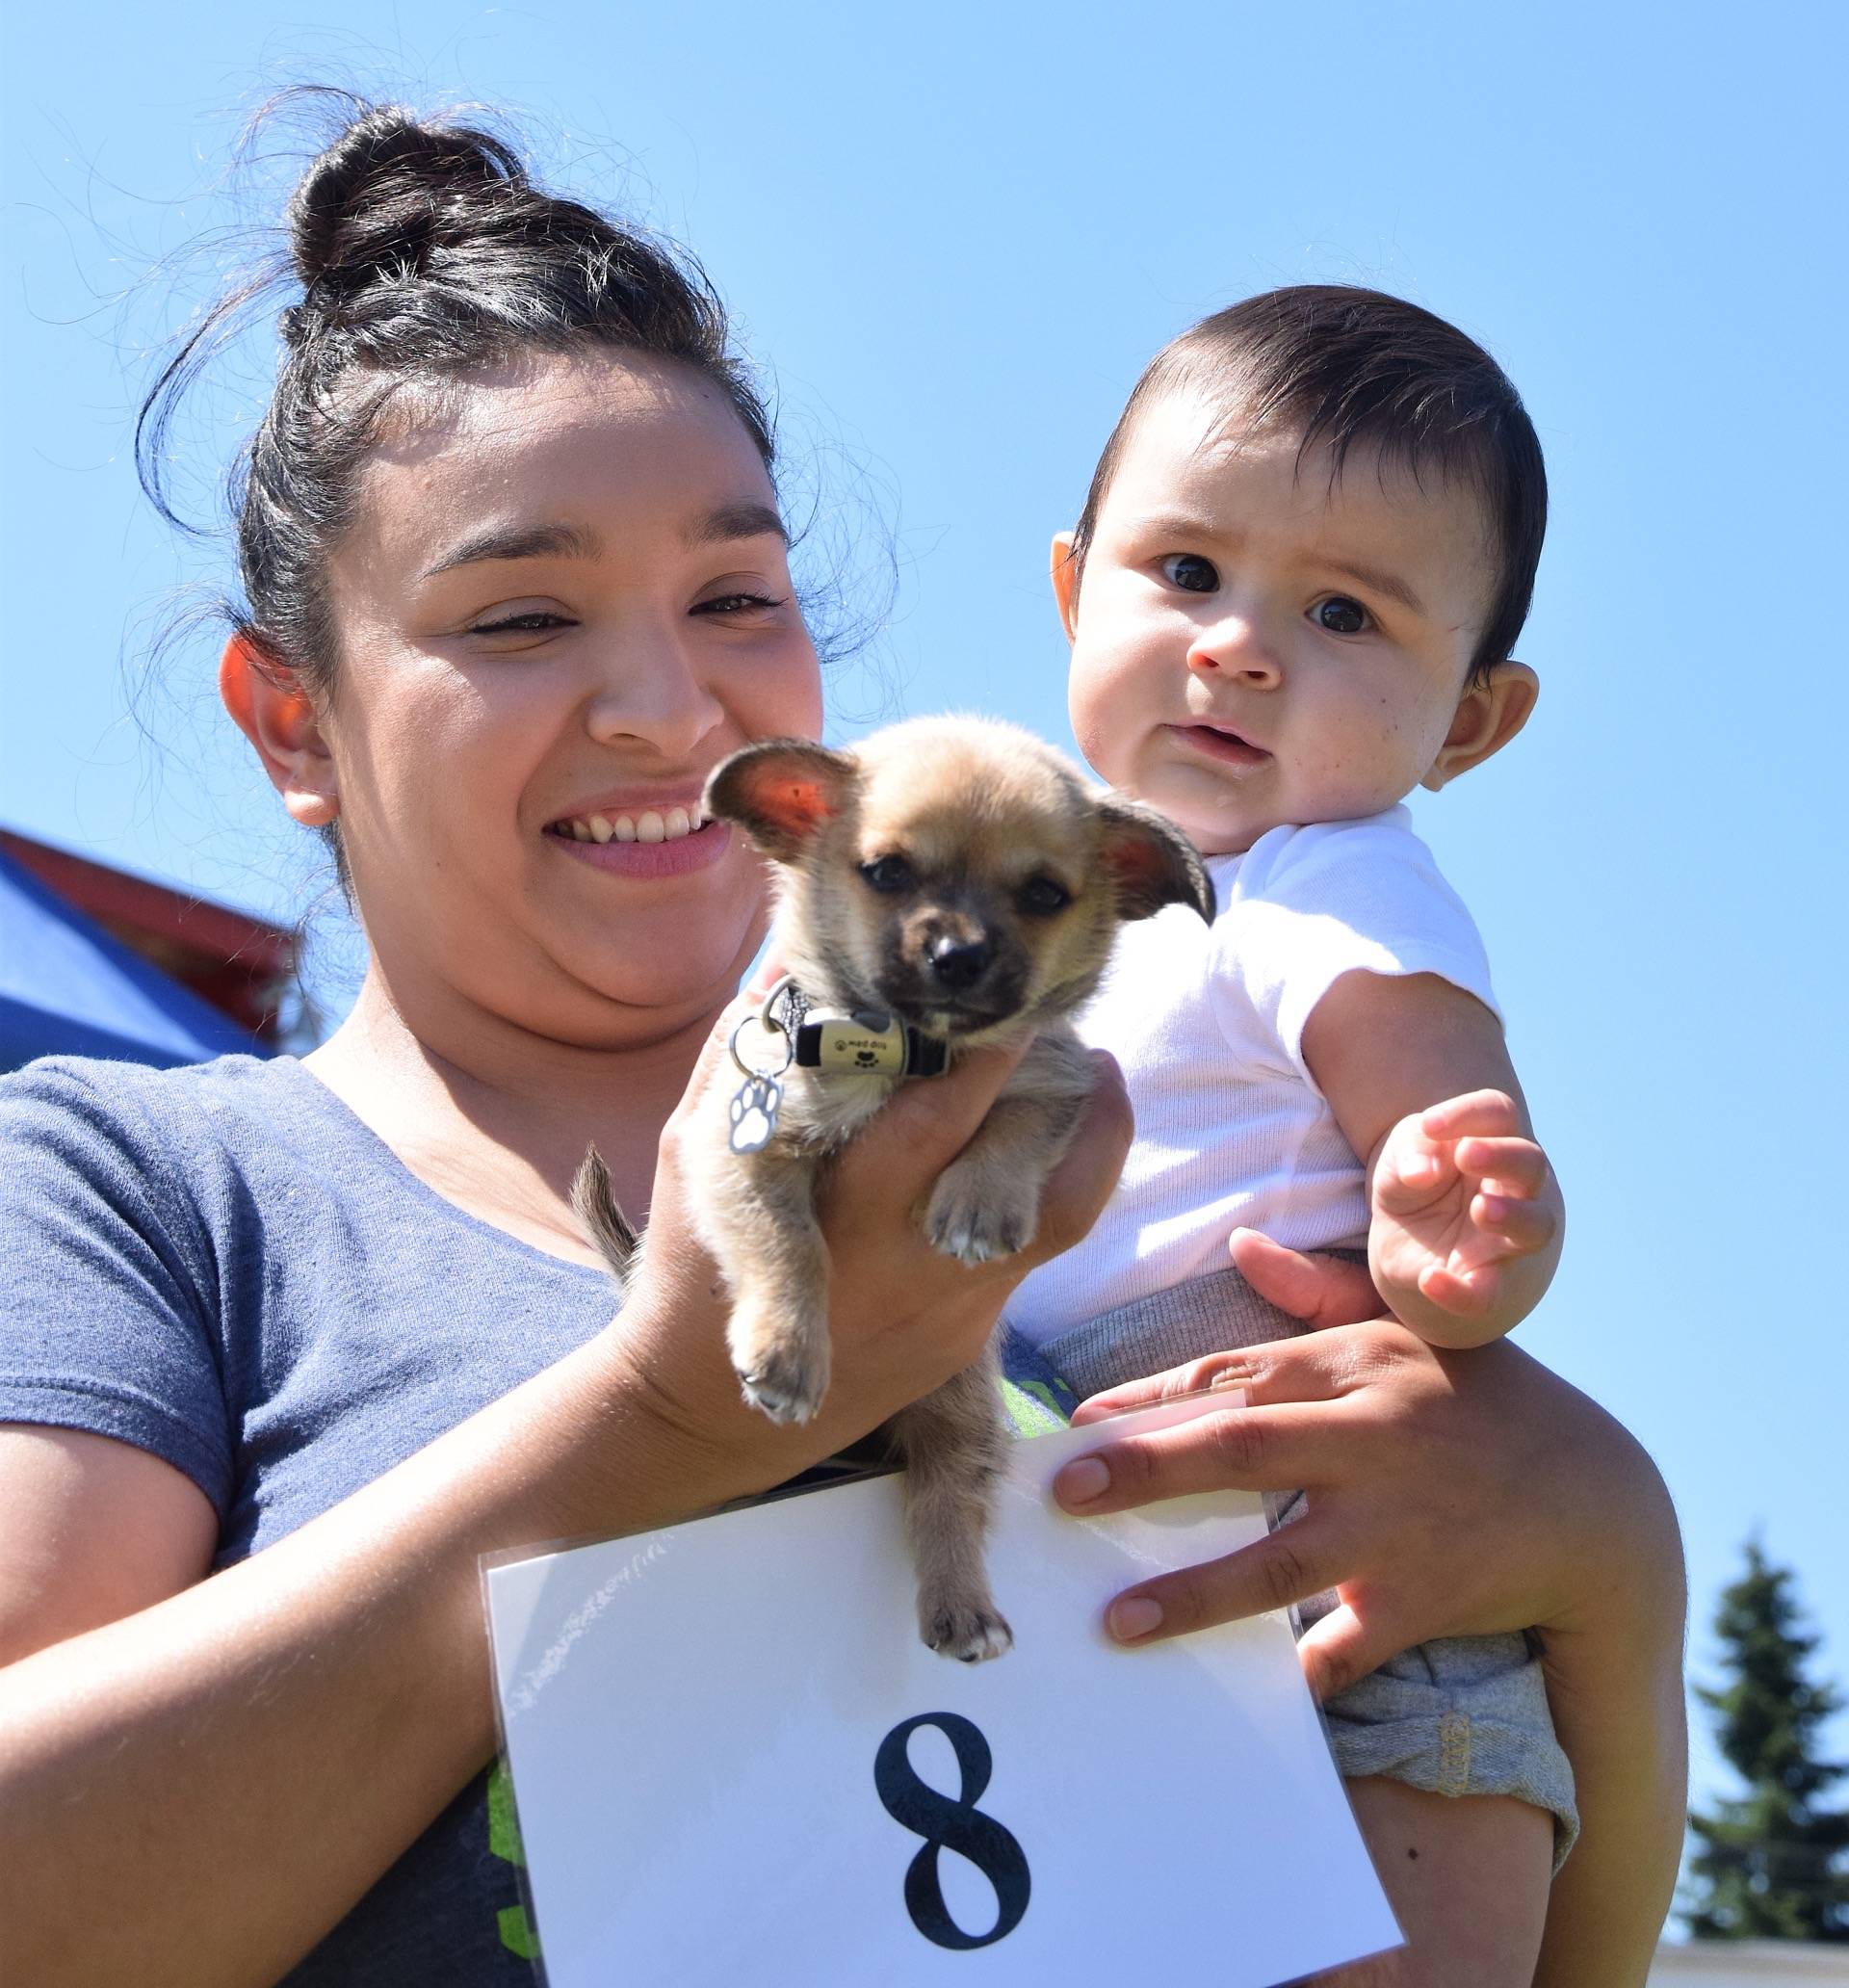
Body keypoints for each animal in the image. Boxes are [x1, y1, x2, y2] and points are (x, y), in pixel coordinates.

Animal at [584, 723, 1200, 1654]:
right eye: (887, 873)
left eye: (1044, 894)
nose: (960, 955)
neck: (904, 1055)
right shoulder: (741, 1146)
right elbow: (790, 1245)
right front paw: (788, 1350)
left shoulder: (1053, 1080)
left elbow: (1013, 1127)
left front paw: (979, 1207)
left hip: (960, 1411)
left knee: (944, 1495)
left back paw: (962, 1610)